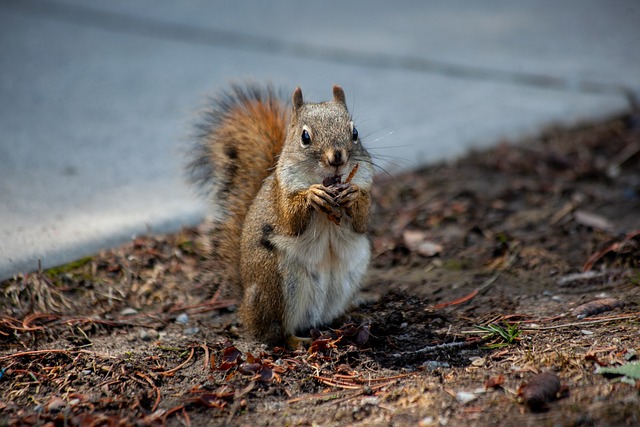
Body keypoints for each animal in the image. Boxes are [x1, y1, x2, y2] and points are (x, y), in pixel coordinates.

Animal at [186, 82, 376, 346]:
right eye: (305, 137)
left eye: (355, 132)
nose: (337, 157)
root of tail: (245, 306)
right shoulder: (281, 195)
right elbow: (290, 221)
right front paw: (312, 195)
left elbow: (361, 221)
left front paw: (353, 195)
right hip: (278, 282)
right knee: (276, 330)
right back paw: (295, 340)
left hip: (350, 275)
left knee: (323, 316)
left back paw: (347, 317)